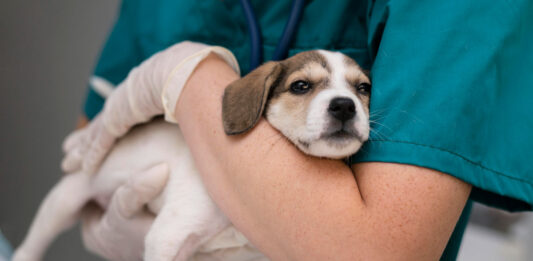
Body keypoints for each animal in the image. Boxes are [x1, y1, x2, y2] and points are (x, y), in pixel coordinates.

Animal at [13, 49, 370, 260]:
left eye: (363, 88)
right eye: (300, 86)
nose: (344, 106)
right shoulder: (167, 237)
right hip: (63, 201)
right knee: (29, 248)